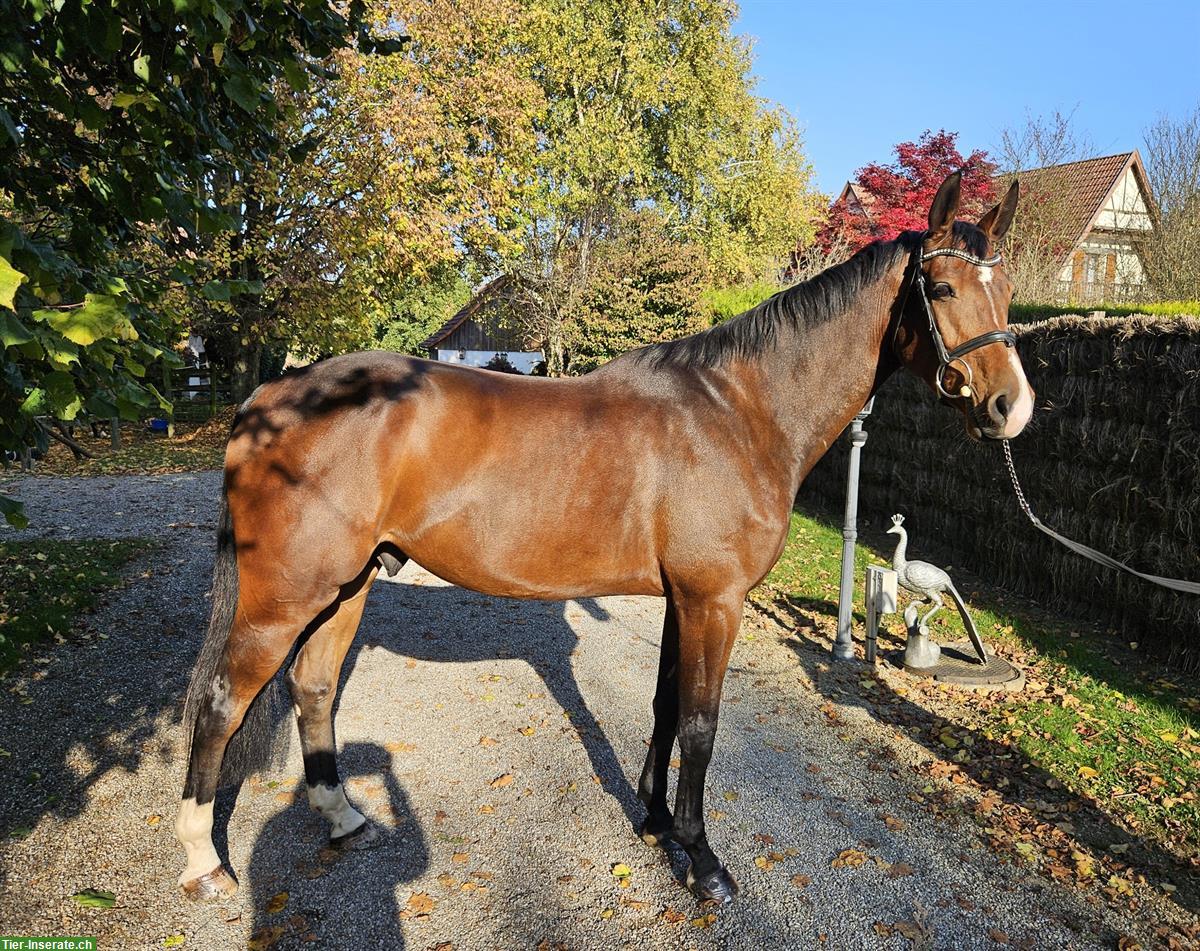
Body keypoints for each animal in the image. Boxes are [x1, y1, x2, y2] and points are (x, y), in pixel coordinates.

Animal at [176, 171, 1032, 905]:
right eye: (943, 287)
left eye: (1007, 292)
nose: (1010, 408)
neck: (737, 411)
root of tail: (273, 394)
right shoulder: (715, 599)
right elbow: (701, 724)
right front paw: (704, 859)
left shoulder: (681, 599)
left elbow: (663, 707)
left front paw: (654, 822)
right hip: (287, 595)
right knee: (221, 700)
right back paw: (202, 860)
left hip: (346, 586)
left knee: (313, 688)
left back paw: (344, 816)